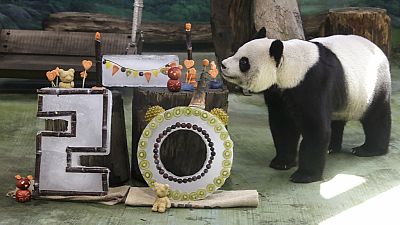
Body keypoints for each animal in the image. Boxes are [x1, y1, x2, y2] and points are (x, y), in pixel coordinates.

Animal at [220, 27, 392, 183]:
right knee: (336, 119)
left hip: (371, 86)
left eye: (244, 61)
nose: (223, 64)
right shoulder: (279, 91)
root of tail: (379, 49)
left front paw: (305, 175)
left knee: (376, 117)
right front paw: (282, 162)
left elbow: (315, 127)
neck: (289, 66)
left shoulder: (313, 82)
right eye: (236, 52)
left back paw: (369, 149)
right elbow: (283, 125)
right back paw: (331, 147)